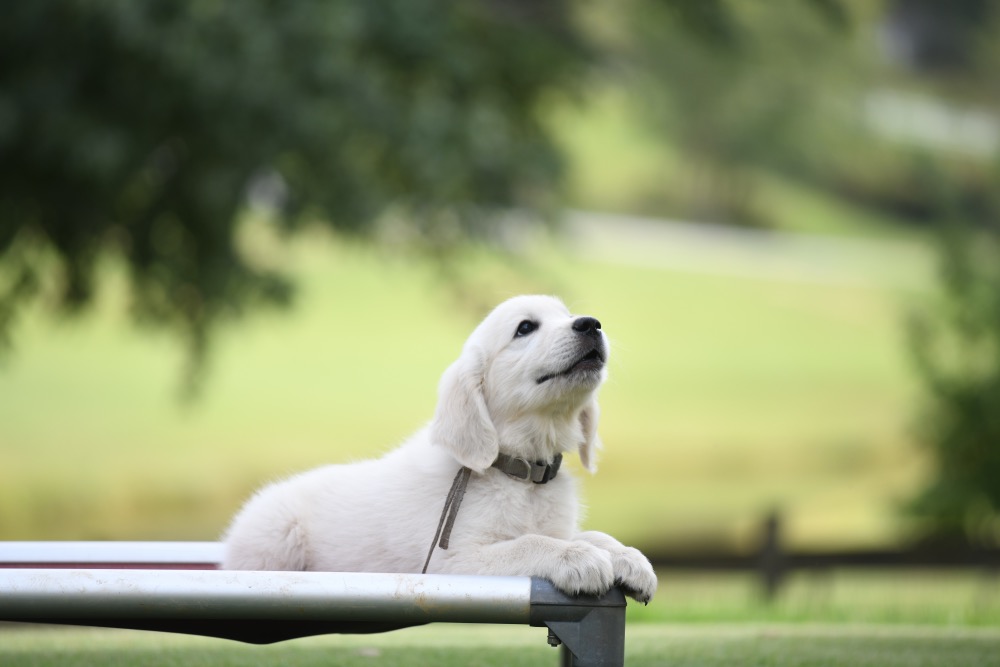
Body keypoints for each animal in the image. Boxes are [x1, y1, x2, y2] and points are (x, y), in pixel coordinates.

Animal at [222, 294, 656, 604]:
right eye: (525, 328)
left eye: (566, 314)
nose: (590, 324)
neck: (520, 473)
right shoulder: (453, 562)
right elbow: (529, 543)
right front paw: (578, 558)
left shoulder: (555, 525)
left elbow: (591, 533)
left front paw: (628, 557)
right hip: (274, 542)